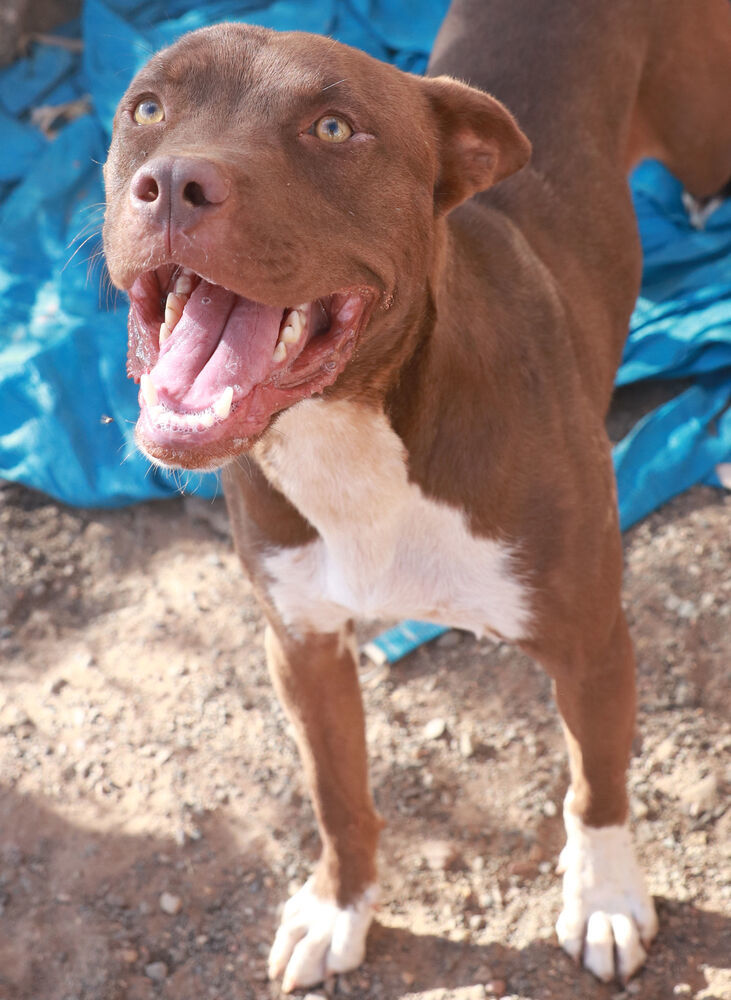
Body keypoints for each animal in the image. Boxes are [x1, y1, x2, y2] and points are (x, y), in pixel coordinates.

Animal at [103, 1, 731, 992]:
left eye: (333, 129)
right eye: (147, 110)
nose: (169, 183)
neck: (354, 434)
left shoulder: (592, 641)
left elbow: (595, 786)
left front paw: (603, 899)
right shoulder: (302, 647)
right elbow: (336, 795)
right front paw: (338, 908)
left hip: (706, 131)